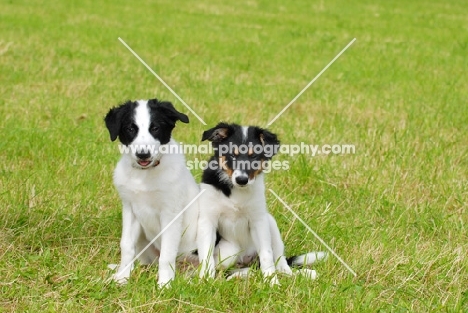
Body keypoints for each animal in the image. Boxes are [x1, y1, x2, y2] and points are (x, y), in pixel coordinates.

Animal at [104, 98, 199, 286]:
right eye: (130, 129)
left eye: (155, 128)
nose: (143, 154)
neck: (144, 175)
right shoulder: (130, 210)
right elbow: (126, 245)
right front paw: (122, 277)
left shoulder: (170, 214)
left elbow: (167, 254)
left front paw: (165, 284)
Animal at [196, 121, 324, 280]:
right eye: (231, 154)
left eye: (254, 156)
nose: (242, 180)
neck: (237, 191)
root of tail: (244, 259)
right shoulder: (207, 220)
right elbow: (206, 254)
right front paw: (206, 278)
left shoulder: (259, 221)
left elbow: (266, 254)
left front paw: (271, 280)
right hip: (229, 252)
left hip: (271, 223)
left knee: (281, 264)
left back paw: (300, 274)